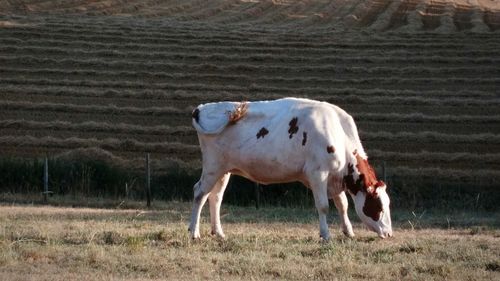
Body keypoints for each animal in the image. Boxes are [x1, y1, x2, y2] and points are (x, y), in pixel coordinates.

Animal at [188, 97, 390, 240]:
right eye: (379, 206)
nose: (389, 233)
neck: (339, 134)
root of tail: (202, 108)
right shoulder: (318, 174)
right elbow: (324, 206)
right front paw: (325, 235)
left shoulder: (335, 177)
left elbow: (343, 205)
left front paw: (348, 231)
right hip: (212, 167)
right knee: (199, 193)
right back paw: (194, 232)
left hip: (224, 170)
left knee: (215, 197)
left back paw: (218, 233)